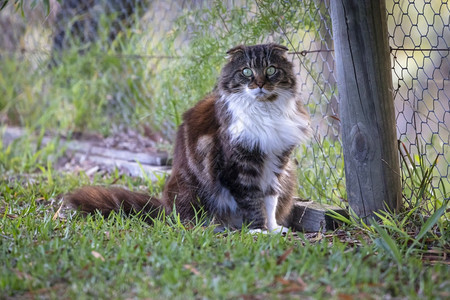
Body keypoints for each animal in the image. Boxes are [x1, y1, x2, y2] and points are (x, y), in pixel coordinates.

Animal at [67, 43, 312, 233]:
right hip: (189, 190)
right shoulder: (240, 169)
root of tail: (164, 207)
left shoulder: (276, 162)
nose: (260, 84)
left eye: (270, 70)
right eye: (246, 72)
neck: (266, 112)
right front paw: (258, 230)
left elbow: (270, 200)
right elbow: (252, 202)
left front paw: (272, 228)